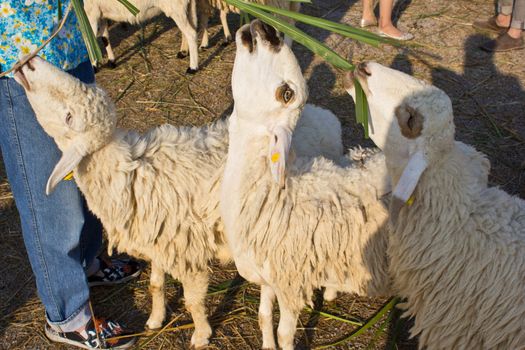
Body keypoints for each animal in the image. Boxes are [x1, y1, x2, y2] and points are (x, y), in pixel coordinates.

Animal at [12, 56, 344, 348]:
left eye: (69, 117)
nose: (26, 63)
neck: (130, 173)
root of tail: (326, 118)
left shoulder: (187, 249)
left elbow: (193, 300)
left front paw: (201, 335)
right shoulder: (160, 241)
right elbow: (156, 285)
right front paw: (155, 319)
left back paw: (329, 293)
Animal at [219, 20, 390, 348]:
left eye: (286, 92)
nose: (268, 28)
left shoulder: (290, 283)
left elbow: (285, 332)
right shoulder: (270, 277)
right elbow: (263, 316)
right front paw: (267, 344)